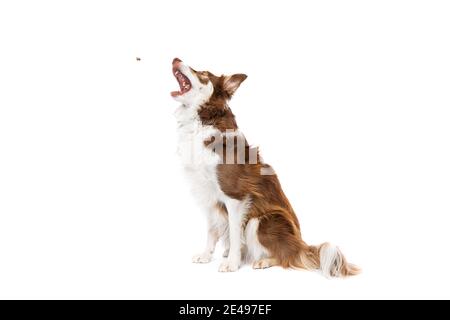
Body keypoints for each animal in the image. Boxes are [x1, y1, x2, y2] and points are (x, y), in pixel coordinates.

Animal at [171, 58, 358, 278]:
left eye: (203, 73)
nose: (176, 59)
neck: (203, 119)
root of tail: (300, 245)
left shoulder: (234, 196)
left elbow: (235, 233)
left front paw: (232, 263)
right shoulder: (207, 194)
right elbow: (211, 229)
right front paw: (206, 255)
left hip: (263, 221)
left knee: (287, 257)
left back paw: (264, 260)